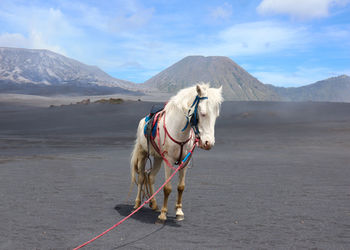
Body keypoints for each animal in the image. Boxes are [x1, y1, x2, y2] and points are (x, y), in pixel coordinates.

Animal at [130, 84, 223, 223]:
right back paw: (137, 203)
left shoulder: (185, 161)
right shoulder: (168, 160)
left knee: (151, 177)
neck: (179, 131)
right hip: (143, 153)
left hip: (158, 158)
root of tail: (143, 121)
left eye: (216, 115)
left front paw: (179, 212)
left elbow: (181, 187)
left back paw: (154, 204)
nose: (208, 143)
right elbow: (167, 188)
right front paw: (163, 214)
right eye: (203, 113)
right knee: (141, 178)